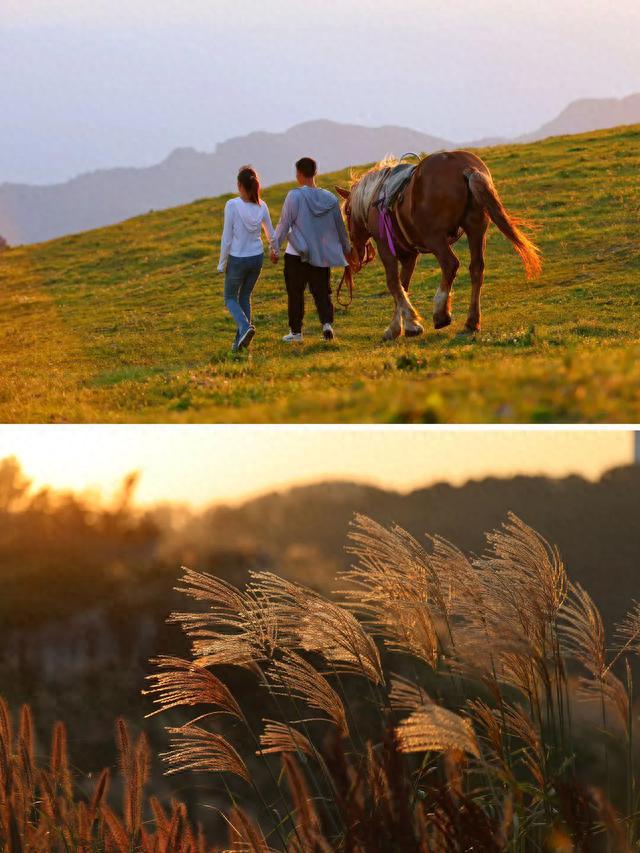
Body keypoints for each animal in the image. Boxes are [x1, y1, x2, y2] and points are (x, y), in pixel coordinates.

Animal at [338, 150, 544, 340]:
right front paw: (404, 326)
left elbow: (394, 284)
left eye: (347, 212)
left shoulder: (386, 248)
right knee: (477, 268)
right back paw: (472, 322)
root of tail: (465, 168)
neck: (375, 198)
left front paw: (405, 325)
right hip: (476, 229)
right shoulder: (409, 255)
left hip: (436, 238)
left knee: (450, 264)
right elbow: (403, 285)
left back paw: (441, 313)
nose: (354, 252)